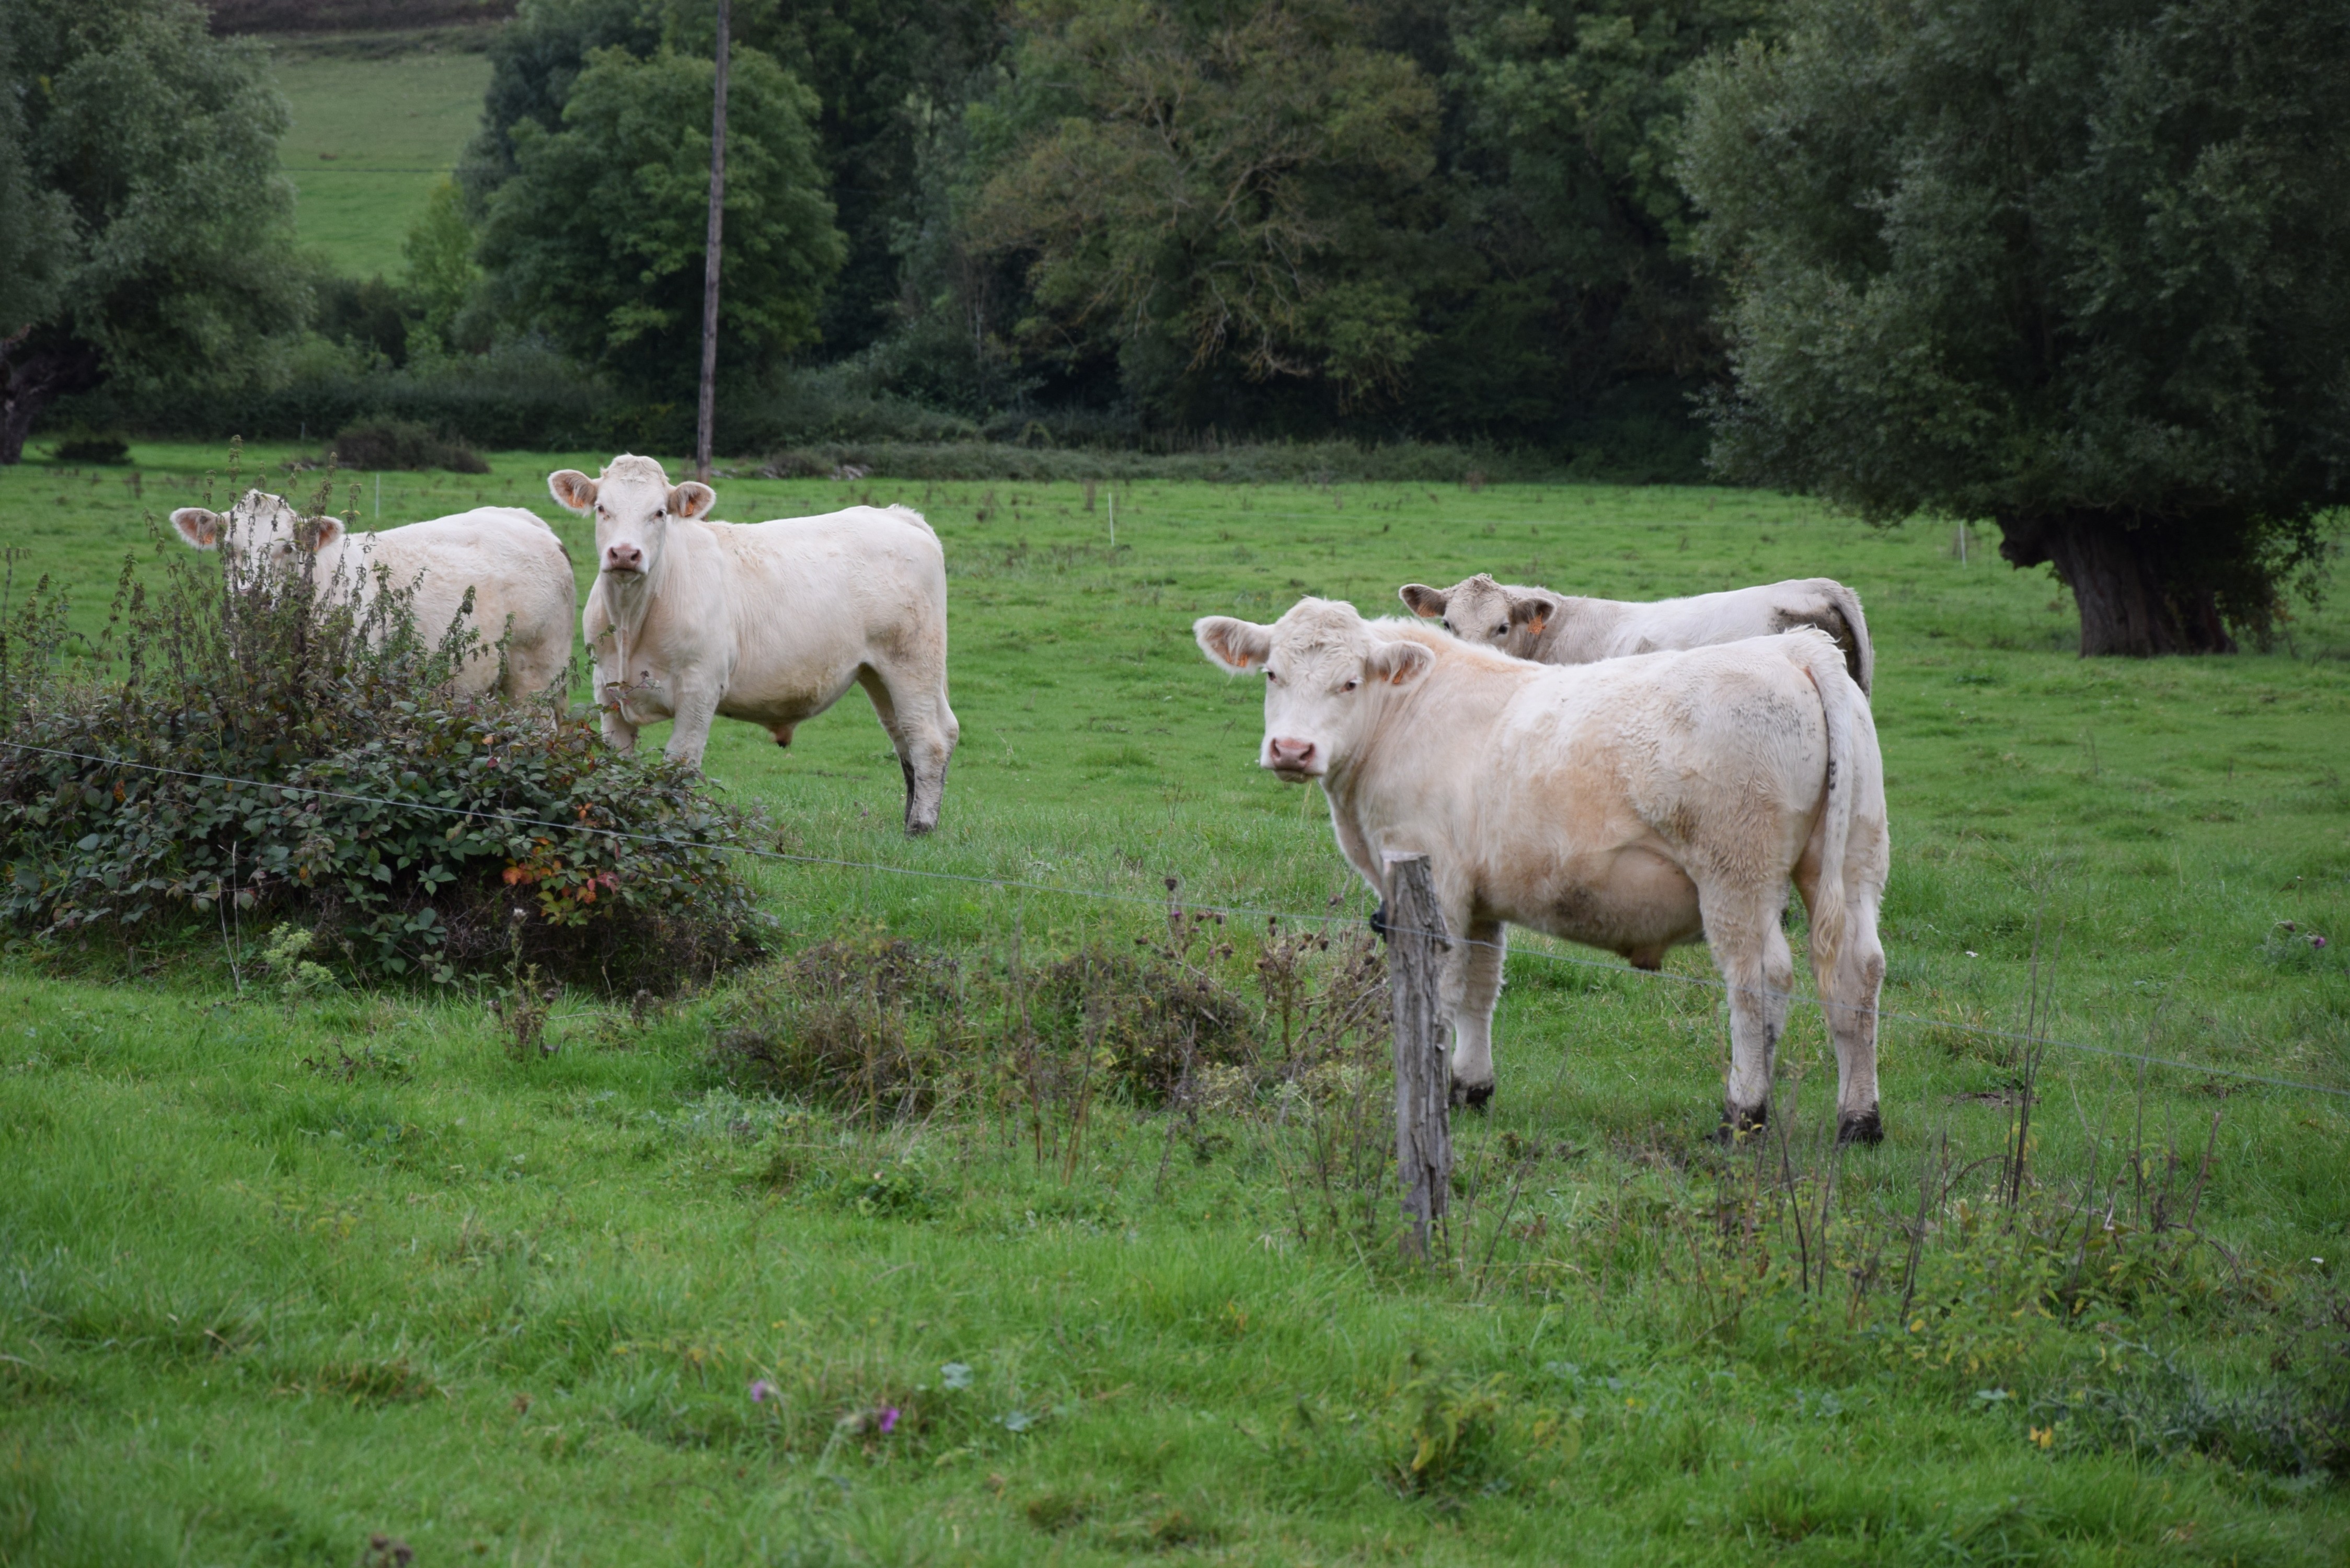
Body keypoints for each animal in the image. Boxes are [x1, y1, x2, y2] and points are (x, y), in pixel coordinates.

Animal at [545, 456, 959, 832]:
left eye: (660, 512)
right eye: (602, 508)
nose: (625, 554)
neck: (632, 622)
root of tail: (897, 516)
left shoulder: (701, 687)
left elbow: (680, 764)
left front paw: (674, 832)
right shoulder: (608, 689)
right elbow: (619, 764)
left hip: (912, 662)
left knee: (929, 738)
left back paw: (921, 827)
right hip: (876, 672)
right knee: (905, 735)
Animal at [1193, 597, 1889, 1142]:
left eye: (1349, 683)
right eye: (1272, 673)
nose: (1291, 750)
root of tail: (1793, 650)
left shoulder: (1435, 879)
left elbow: (1442, 990)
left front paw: (1427, 1090)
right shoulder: (1480, 897)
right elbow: (1480, 987)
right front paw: (1469, 1089)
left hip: (1735, 875)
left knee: (1758, 982)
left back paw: (1741, 1115)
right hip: (1854, 864)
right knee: (1854, 976)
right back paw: (1858, 1121)